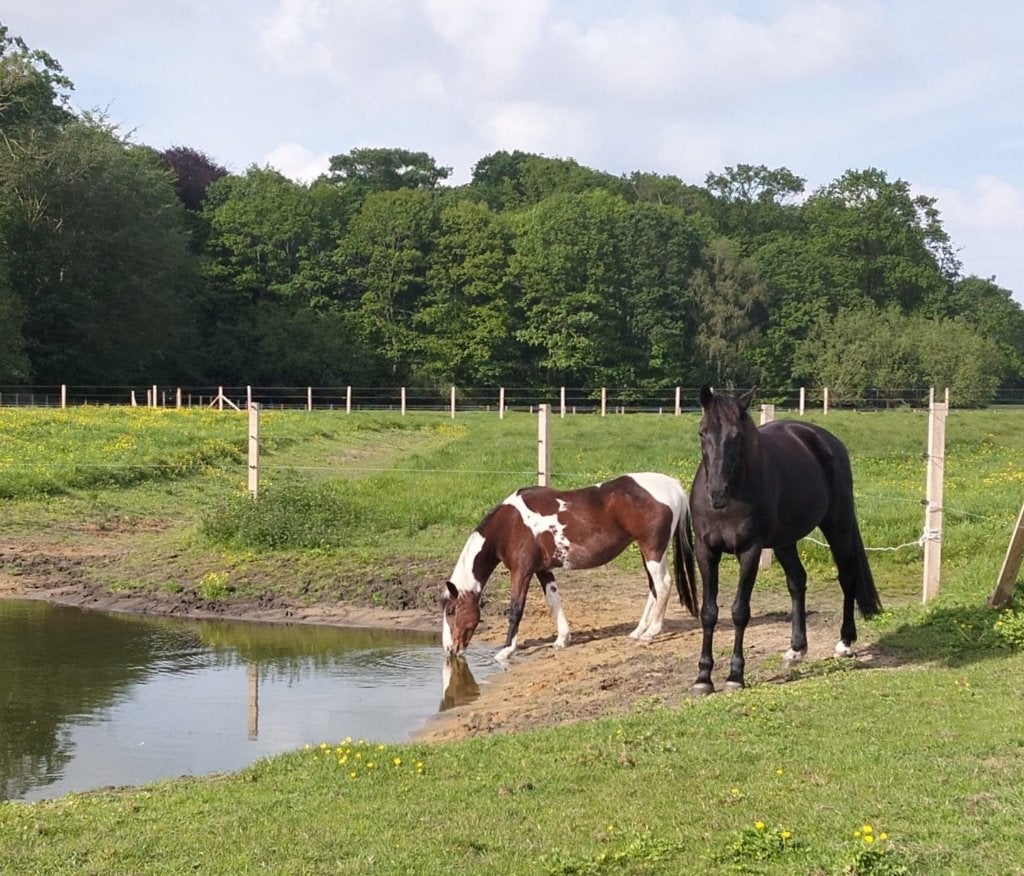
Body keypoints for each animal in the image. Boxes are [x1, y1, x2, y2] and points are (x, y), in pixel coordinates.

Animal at [442, 472, 698, 664]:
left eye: (451, 611)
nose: (449, 649)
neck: (509, 524)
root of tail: (673, 485)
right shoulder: (542, 569)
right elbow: (554, 600)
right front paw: (562, 639)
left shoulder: (521, 571)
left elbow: (515, 609)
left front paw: (506, 650)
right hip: (649, 553)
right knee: (653, 588)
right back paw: (638, 631)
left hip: (653, 551)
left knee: (663, 586)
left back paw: (651, 633)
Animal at [688, 385, 882, 694]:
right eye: (702, 432)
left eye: (737, 435)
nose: (717, 492)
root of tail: (825, 440)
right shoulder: (705, 550)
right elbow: (708, 612)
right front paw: (703, 678)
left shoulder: (751, 550)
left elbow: (740, 611)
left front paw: (735, 675)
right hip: (784, 541)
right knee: (797, 582)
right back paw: (796, 650)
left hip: (837, 527)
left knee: (847, 576)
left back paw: (845, 643)